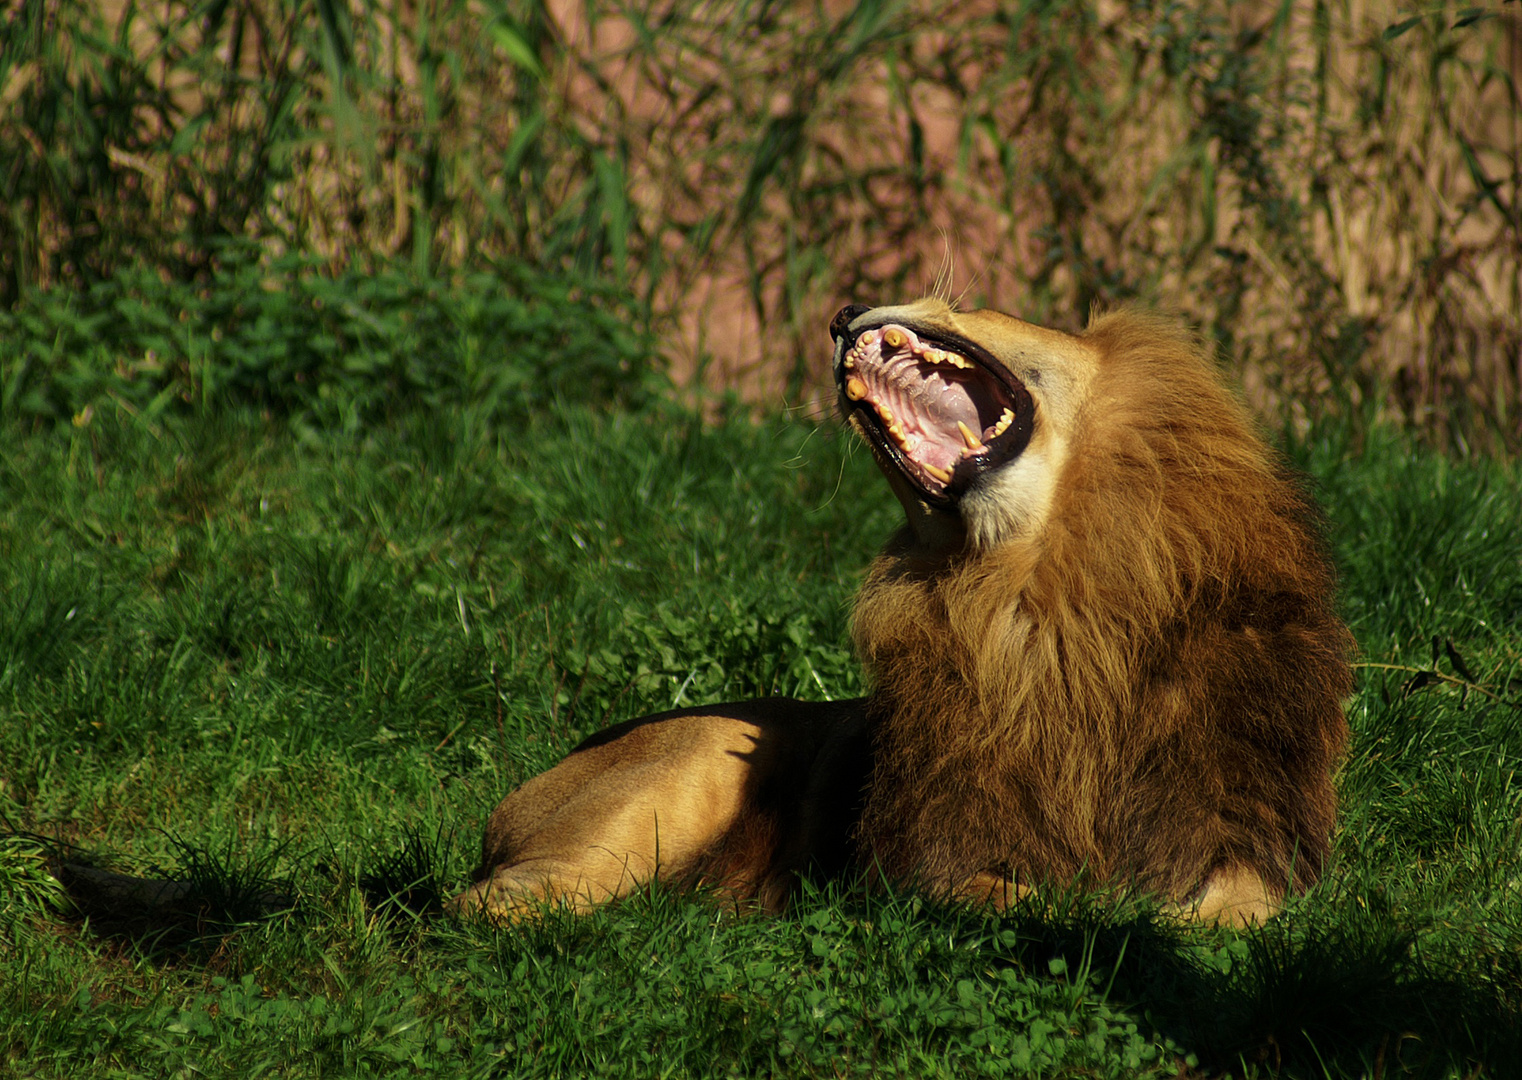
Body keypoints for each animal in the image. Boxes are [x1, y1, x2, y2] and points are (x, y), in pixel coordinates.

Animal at [444, 299, 1351, 924]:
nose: (842, 314)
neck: (1039, 602)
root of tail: (514, 801)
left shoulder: (1250, 830)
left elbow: (1234, 914)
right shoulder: (920, 861)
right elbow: (1025, 899)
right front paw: (1104, 913)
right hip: (694, 757)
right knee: (493, 904)